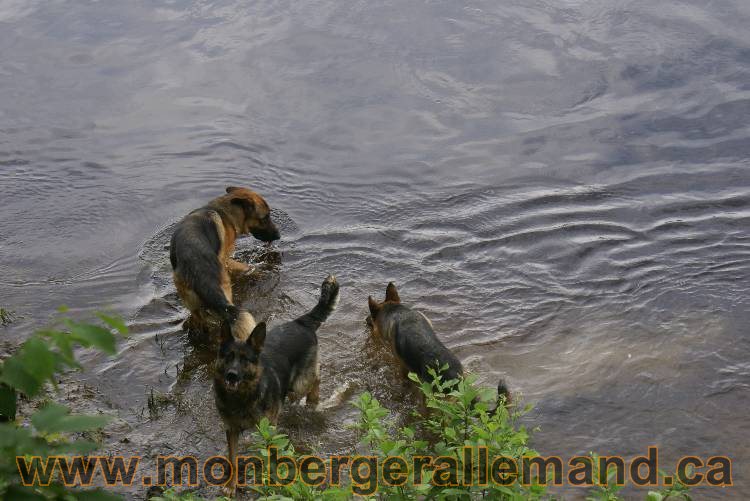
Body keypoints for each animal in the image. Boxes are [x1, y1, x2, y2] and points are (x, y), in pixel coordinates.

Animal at [170, 186, 282, 338]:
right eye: (265, 218)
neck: (225, 213)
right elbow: (241, 266)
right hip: (225, 292)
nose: (279, 235)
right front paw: (253, 270)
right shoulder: (225, 259)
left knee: (200, 320)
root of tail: (196, 266)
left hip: (191, 302)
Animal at [213, 274, 340, 492]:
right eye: (228, 357)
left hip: (298, 385)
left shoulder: (268, 428)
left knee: (315, 379)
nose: (231, 376)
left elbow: (271, 454)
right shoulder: (232, 430)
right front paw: (231, 485)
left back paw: (313, 401)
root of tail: (301, 322)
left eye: (245, 359)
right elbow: (232, 457)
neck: (243, 397)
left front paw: (270, 479)